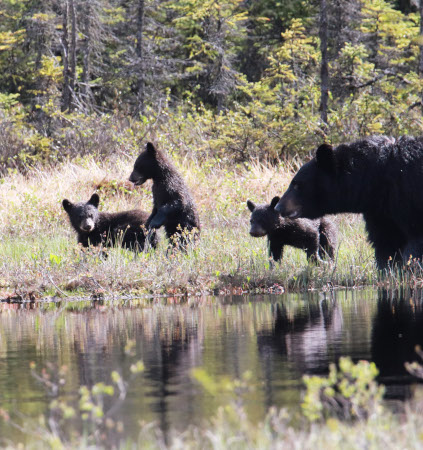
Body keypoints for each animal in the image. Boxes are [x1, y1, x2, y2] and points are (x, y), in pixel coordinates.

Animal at [274, 135, 423, 268]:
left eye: (297, 185)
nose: (278, 207)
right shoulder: (380, 211)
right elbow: (386, 242)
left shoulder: (408, 196)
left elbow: (414, 244)